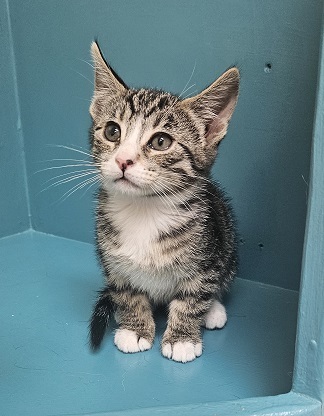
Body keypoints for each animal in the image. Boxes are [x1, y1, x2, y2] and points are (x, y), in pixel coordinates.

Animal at [88, 40, 238, 362]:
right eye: (112, 131)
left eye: (160, 142)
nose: (123, 160)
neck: (144, 210)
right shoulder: (113, 264)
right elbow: (128, 293)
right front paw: (134, 328)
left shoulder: (206, 260)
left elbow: (193, 297)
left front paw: (182, 338)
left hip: (228, 241)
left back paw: (214, 311)